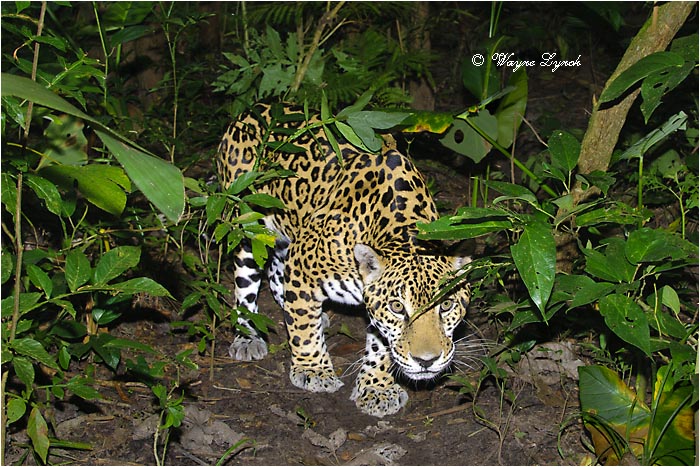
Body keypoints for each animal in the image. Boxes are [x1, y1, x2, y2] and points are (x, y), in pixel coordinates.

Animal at [216, 103, 471, 417]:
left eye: (446, 305)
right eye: (398, 307)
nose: (427, 360)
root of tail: (252, 109)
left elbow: (381, 346)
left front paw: (377, 388)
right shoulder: (303, 267)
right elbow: (303, 329)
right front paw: (313, 371)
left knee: (276, 271)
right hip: (246, 224)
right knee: (246, 283)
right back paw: (248, 336)